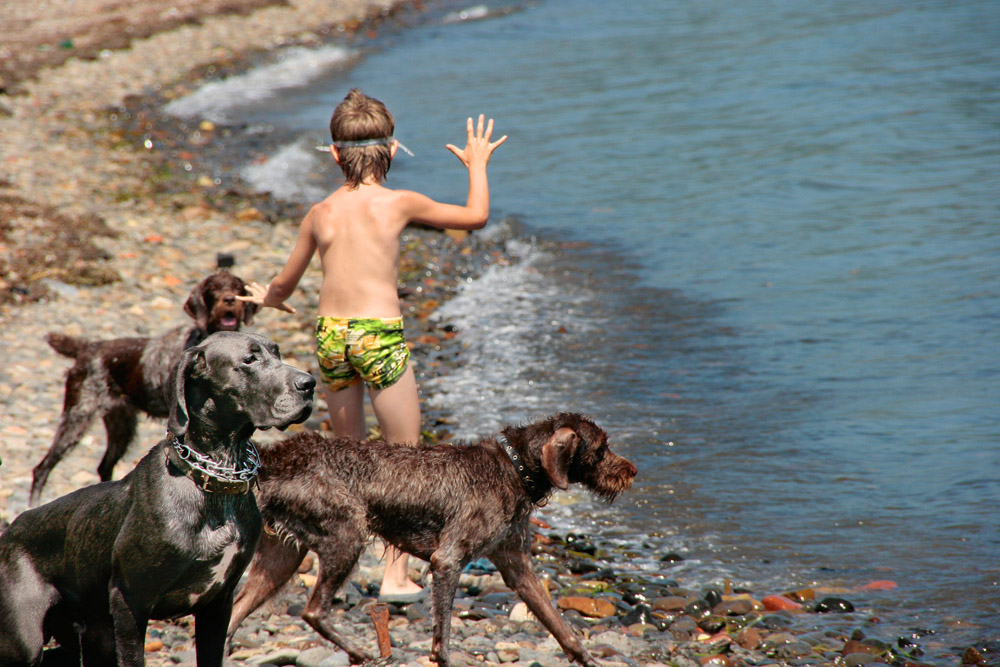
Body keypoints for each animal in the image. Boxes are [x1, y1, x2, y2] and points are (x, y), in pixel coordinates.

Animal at [0, 332, 314, 664]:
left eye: (277, 353)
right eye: (249, 360)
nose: (310, 383)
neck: (213, 482)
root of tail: (11, 530)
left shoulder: (218, 604)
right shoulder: (129, 600)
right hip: (25, 642)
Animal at [31, 272, 260, 506]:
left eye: (237, 287)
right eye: (213, 289)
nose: (230, 299)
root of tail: (86, 349)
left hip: (121, 427)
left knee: (104, 466)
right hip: (77, 419)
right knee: (42, 469)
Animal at [228, 412, 636, 667]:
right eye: (601, 449)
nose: (632, 471)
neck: (515, 468)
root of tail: (273, 459)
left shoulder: (517, 566)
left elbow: (560, 625)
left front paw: (589, 659)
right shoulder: (448, 560)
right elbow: (443, 636)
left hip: (280, 558)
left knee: (236, 611)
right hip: (347, 535)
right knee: (313, 610)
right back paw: (361, 653)